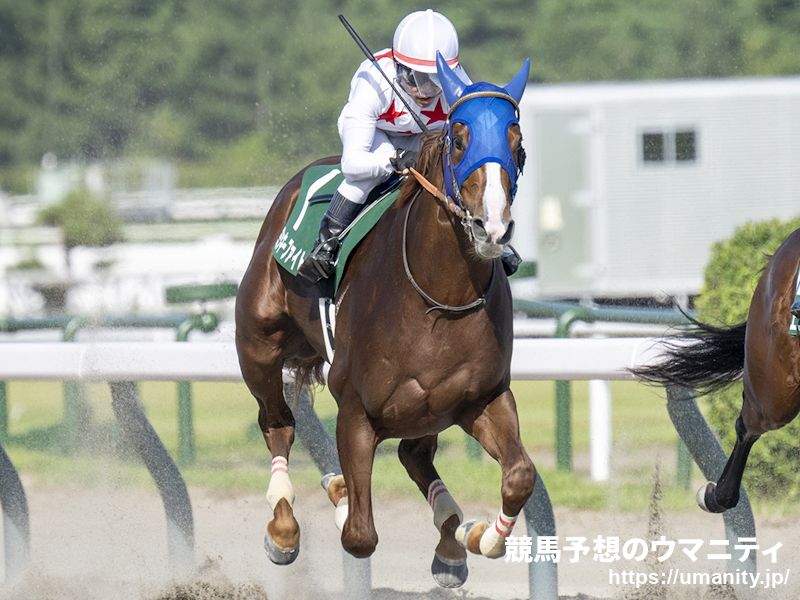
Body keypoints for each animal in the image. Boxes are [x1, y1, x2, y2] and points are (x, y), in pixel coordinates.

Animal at [234, 54, 536, 588]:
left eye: (517, 143)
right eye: (459, 138)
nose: (492, 227)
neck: (438, 298)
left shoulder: (482, 398)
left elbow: (520, 475)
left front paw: (484, 537)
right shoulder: (355, 410)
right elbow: (359, 535)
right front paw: (339, 499)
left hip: (428, 411)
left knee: (414, 456)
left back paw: (452, 539)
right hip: (259, 346)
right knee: (277, 424)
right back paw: (286, 528)